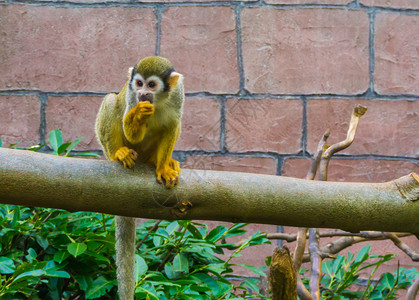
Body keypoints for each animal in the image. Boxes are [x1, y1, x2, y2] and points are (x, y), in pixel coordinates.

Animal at [97, 56, 185, 300]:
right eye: (139, 83)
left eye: (151, 85)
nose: (143, 93)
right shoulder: (130, 95)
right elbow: (131, 129)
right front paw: (138, 114)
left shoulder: (178, 94)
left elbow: (173, 125)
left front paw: (164, 168)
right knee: (111, 101)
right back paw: (119, 154)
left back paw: (160, 162)